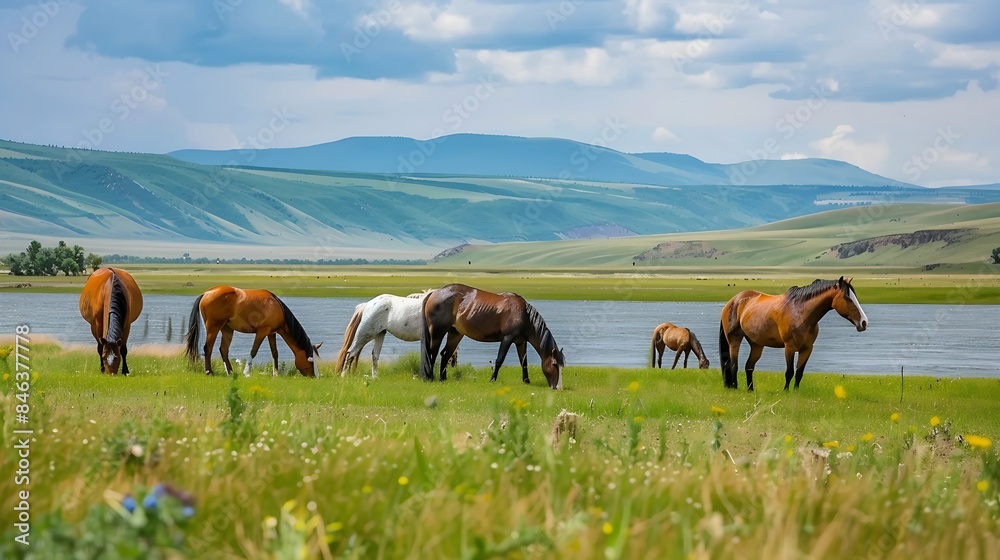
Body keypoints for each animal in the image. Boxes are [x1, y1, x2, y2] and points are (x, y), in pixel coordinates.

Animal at [184, 286, 322, 377]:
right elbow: (253, 351)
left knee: (223, 349)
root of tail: (206, 293)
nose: (315, 376)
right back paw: (209, 372)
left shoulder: (271, 333)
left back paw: (230, 372)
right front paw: (246, 372)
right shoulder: (262, 331)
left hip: (227, 329)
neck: (277, 307)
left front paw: (276, 374)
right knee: (208, 348)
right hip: (213, 327)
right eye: (311, 360)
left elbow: (275, 353)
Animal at [421, 283, 565, 389]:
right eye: (554, 364)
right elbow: (499, 360)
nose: (558, 387)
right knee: (432, 353)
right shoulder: (507, 338)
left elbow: (523, 362)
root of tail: (434, 293)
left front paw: (526, 381)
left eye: (561, 365)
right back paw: (431, 377)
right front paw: (492, 379)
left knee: (445, 354)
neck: (523, 314)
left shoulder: (521, 342)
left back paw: (443, 379)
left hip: (455, 334)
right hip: (437, 332)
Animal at [719, 277, 868, 391]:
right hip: (734, 340)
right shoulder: (789, 348)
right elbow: (789, 372)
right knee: (733, 365)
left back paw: (750, 390)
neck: (801, 314)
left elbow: (799, 372)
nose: (864, 322)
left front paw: (795, 392)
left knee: (749, 367)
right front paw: (785, 391)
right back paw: (734, 387)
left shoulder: (807, 349)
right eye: (847, 297)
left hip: (756, 345)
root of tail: (733, 301)